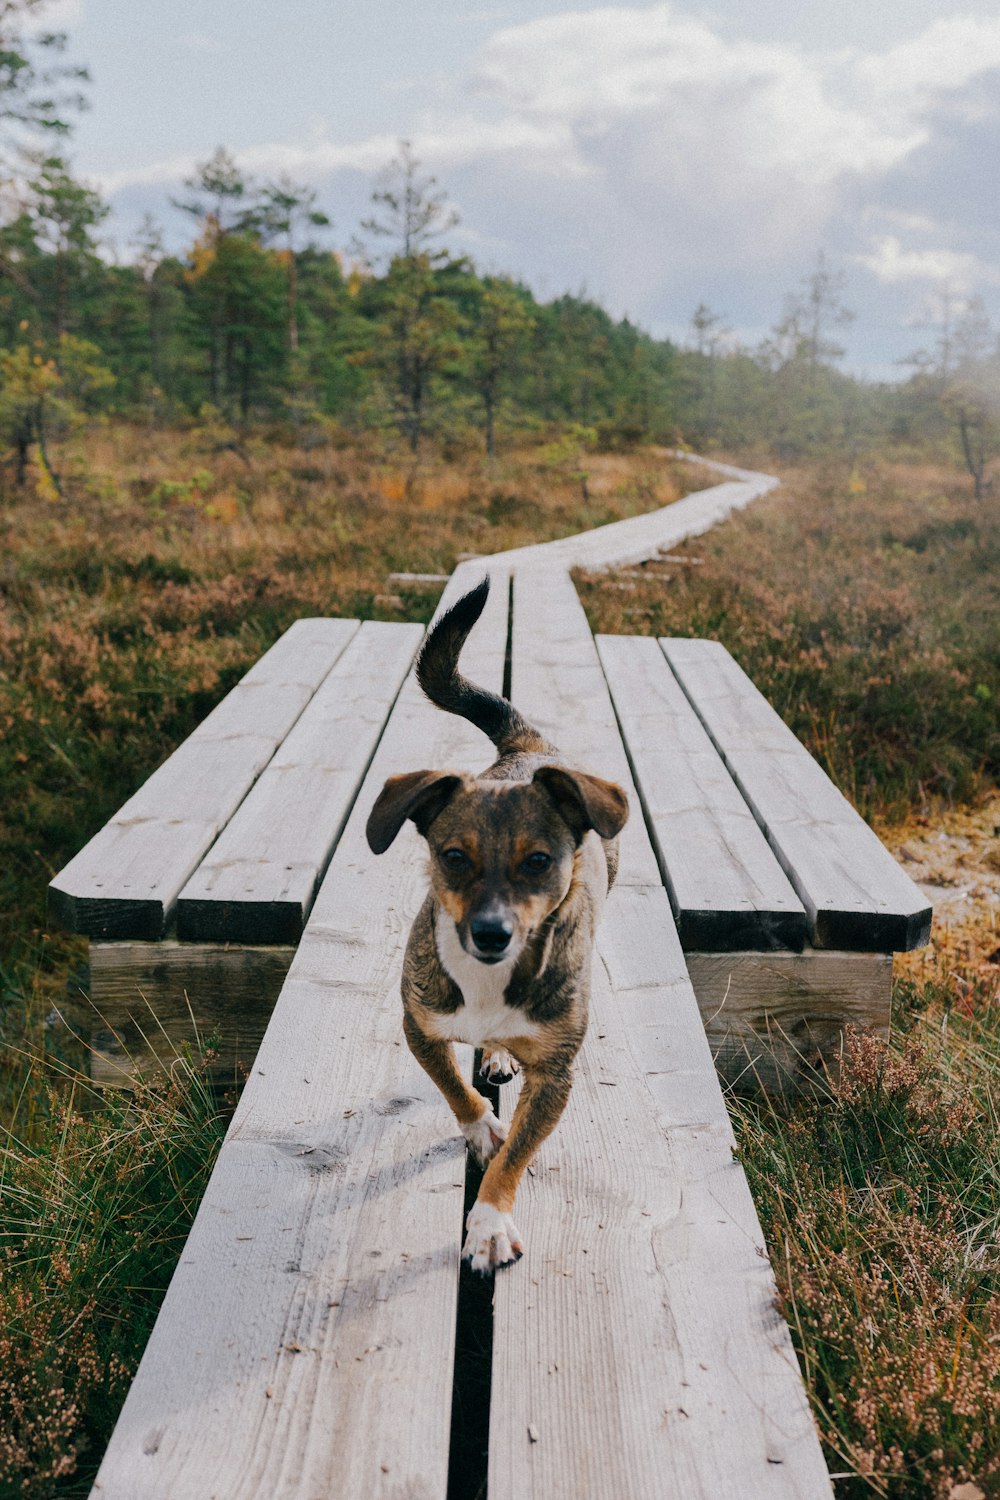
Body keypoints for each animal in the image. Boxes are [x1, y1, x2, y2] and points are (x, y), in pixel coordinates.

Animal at [364, 579, 629, 1272]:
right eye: (453, 857)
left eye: (539, 862)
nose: (491, 933)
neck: (490, 983)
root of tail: (528, 748)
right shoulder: (420, 1025)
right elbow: (453, 1087)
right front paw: (481, 1124)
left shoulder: (556, 1077)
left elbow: (518, 1154)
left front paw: (488, 1221)